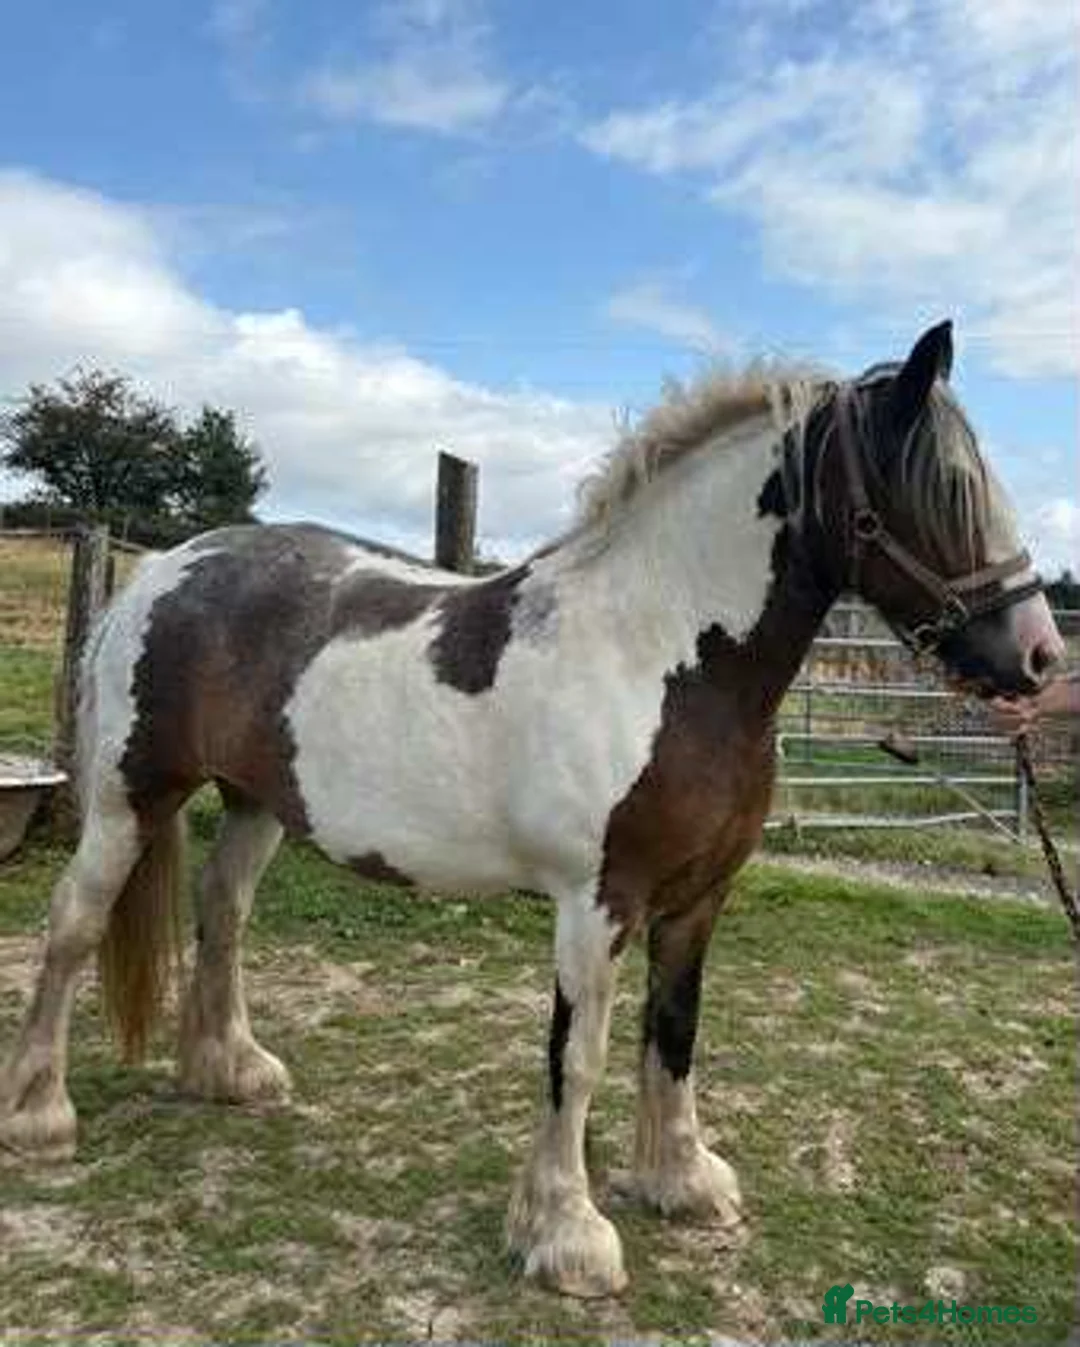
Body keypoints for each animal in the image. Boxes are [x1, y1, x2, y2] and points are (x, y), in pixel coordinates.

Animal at [0, 321, 1064, 1297]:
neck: (662, 657)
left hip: (258, 802)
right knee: (73, 922)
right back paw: (41, 1115)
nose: (1041, 658)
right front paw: (567, 1235)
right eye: (939, 489)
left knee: (222, 910)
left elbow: (675, 1035)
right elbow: (578, 1057)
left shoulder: (698, 899)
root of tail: (164, 569)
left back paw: (230, 1070)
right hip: (130, 797)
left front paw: (682, 1182)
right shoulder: (596, 903)